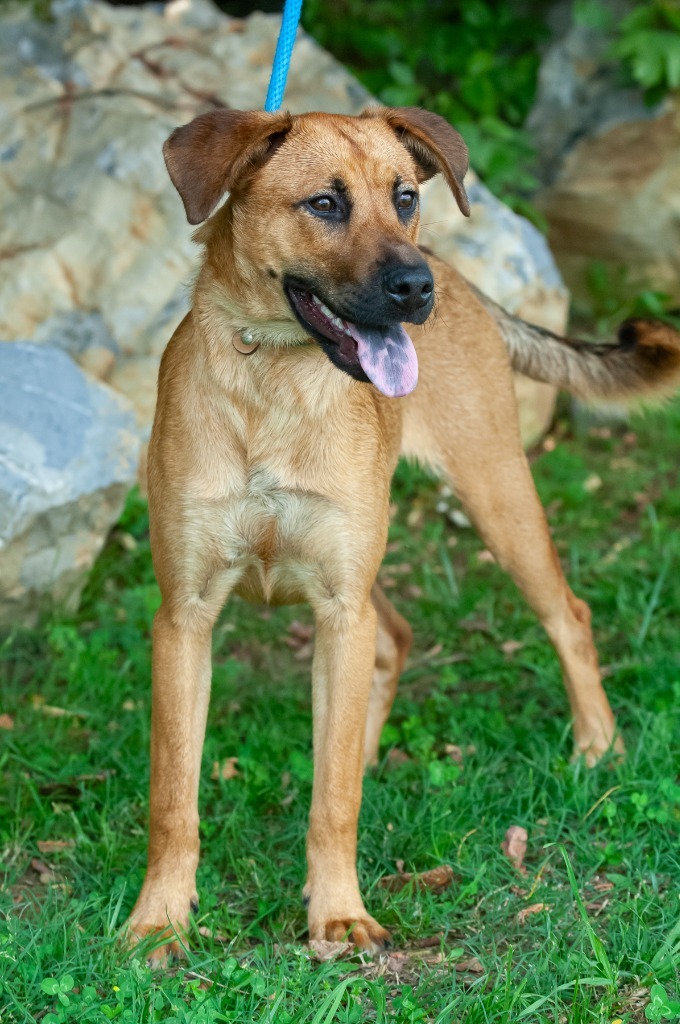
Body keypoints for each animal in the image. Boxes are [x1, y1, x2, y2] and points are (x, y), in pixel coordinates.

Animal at [125, 105, 680, 958]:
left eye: (406, 196)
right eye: (324, 203)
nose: (416, 289)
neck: (274, 379)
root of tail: (459, 274)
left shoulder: (337, 604)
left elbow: (333, 802)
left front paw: (338, 914)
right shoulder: (185, 619)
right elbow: (173, 797)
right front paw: (160, 918)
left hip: (496, 495)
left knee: (569, 615)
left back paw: (598, 749)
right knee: (394, 641)